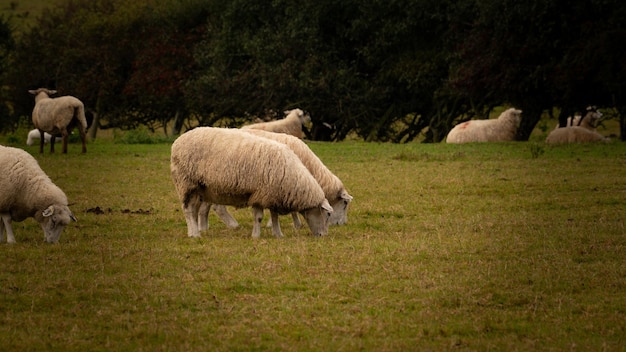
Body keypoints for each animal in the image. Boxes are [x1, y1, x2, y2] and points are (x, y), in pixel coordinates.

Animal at [166, 125, 332, 238]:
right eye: (328, 214)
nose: (323, 235)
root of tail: (178, 141)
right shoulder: (260, 194)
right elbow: (259, 217)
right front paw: (256, 235)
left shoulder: (272, 194)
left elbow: (274, 216)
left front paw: (278, 234)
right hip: (186, 183)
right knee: (188, 210)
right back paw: (195, 234)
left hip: (200, 188)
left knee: (194, 210)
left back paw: (193, 230)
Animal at [208, 129, 352, 231]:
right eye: (345, 203)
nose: (342, 224)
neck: (311, 167)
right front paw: (276, 224)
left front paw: (295, 224)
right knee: (217, 207)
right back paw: (233, 225)